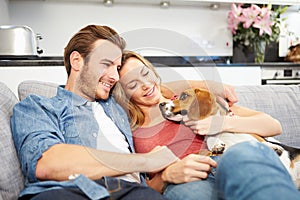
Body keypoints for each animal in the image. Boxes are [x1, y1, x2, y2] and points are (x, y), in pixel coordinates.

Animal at [159, 87, 300, 189]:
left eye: (183, 96)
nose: (161, 104)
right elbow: (211, 138)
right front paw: (216, 145)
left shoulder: (255, 136)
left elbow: (262, 142)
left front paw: (273, 147)